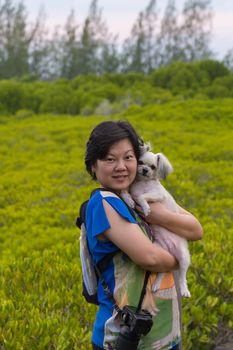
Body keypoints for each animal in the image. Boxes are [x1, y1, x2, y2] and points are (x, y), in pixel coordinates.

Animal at [122, 145, 191, 298]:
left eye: (153, 167)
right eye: (140, 162)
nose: (145, 170)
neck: (142, 183)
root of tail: (170, 249)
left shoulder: (157, 195)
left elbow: (142, 196)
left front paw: (146, 208)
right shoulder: (131, 189)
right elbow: (125, 192)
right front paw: (129, 200)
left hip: (183, 257)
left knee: (182, 276)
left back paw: (184, 290)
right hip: (160, 253)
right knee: (162, 271)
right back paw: (156, 285)